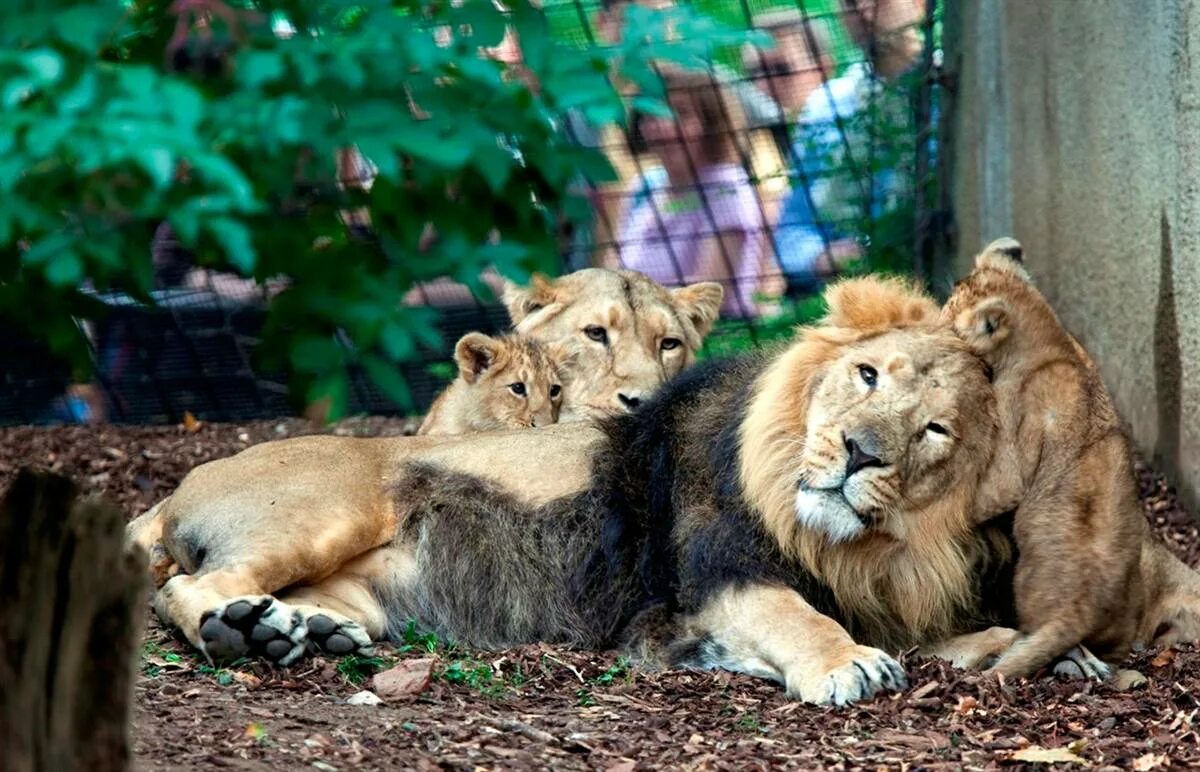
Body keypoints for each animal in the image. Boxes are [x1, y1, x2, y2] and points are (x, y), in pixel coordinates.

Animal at [133, 277, 1022, 705]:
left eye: (933, 429)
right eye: (865, 375)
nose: (860, 452)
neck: (847, 541)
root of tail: (176, 488)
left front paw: (1019, 647)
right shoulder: (717, 578)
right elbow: (798, 618)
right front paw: (847, 662)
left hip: (362, 592)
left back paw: (293, 631)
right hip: (327, 513)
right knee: (186, 588)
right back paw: (241, 632)